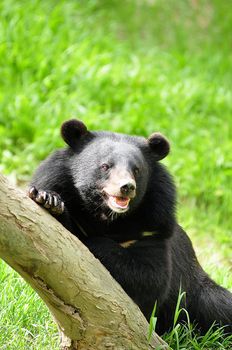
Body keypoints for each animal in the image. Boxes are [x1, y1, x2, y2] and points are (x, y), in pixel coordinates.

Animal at [29, 119, 232, 334]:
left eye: (137, 170)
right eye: (105, 166)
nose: (126, 187)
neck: (108, 218)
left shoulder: (153, 227)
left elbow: (151, 277)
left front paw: (95, 244)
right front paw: (48, 200)